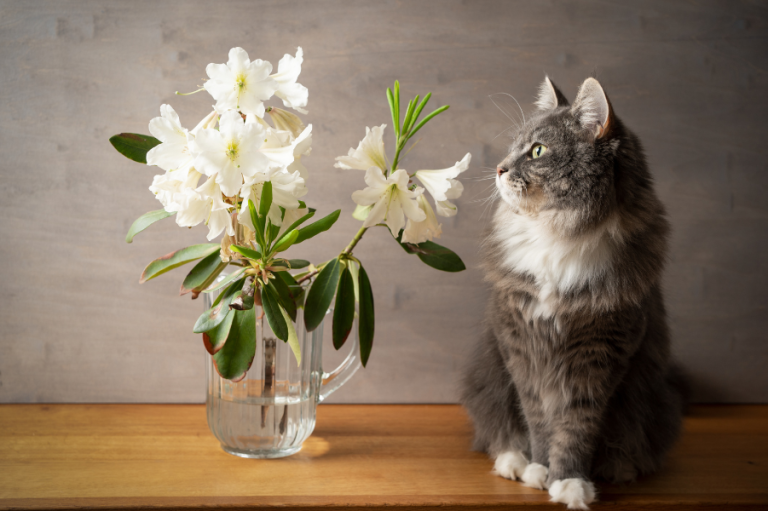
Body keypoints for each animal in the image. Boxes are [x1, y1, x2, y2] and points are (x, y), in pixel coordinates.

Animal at [460, 77, 688, 511]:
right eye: (514, 146)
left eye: (537, 151)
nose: (499, 168)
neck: (559, 232)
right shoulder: (522, 346)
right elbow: (538, 419)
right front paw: (539, 470)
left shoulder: (600, 354)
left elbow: (576, 426)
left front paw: (569, 482)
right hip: (489, 376)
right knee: (499, 430)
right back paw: (513, 461)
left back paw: (619, 468)